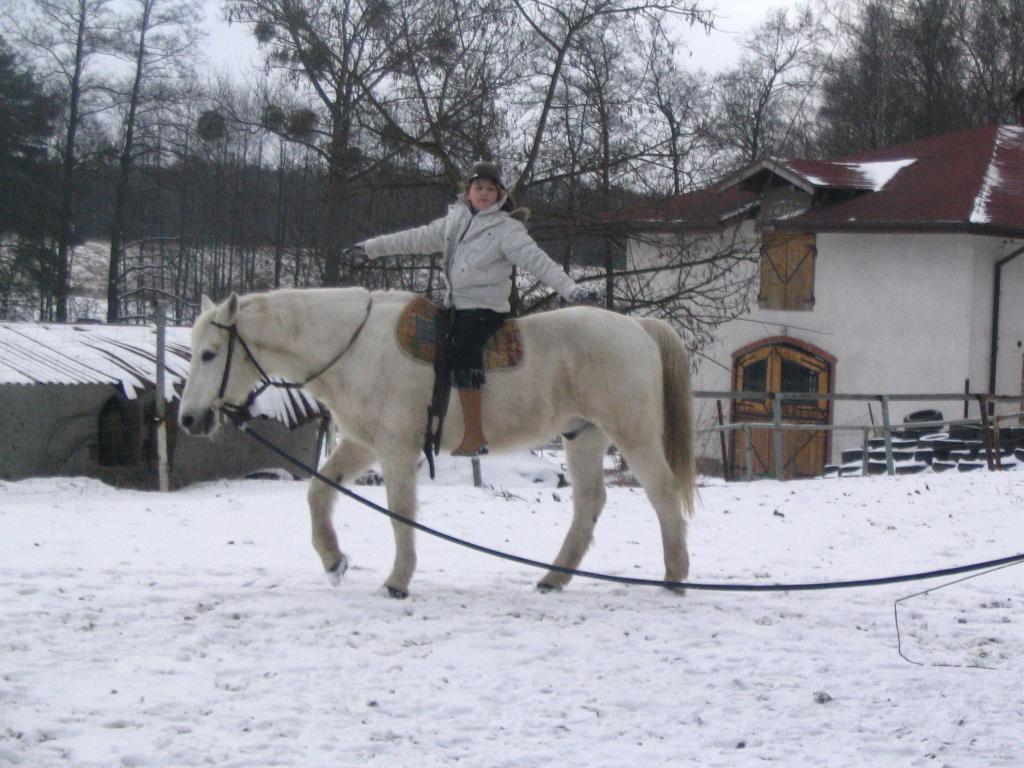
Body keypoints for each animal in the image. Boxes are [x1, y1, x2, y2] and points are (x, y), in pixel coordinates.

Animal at [182, 290, 696, 602]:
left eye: (209, 354)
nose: (189, 419)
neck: (356, 348)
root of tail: (638, 328)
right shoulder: (363, 444)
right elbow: (319, 492)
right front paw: (333, 562)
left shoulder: (395, 449)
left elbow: (399, 512)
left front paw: (397, 581)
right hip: (584, 436)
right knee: (589, 503)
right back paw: (553, 578)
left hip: (631, 432)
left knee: (662, 493)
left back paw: (674, 578)